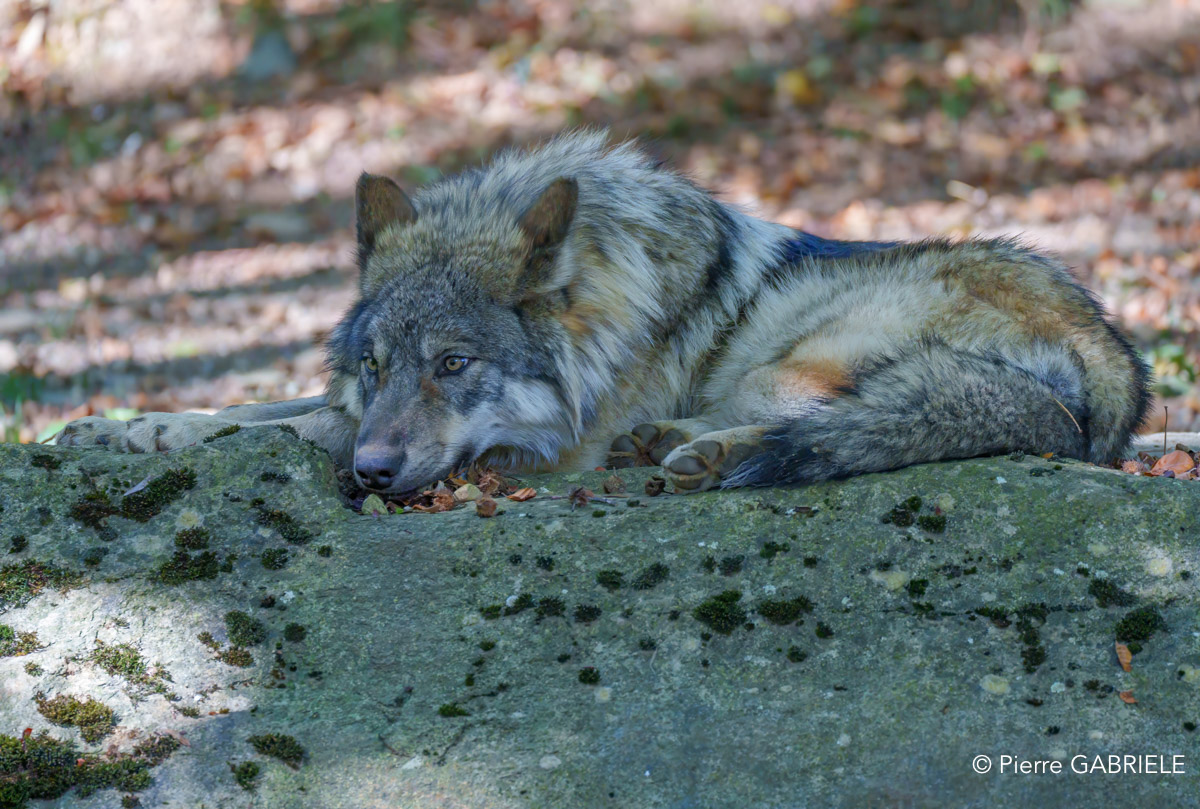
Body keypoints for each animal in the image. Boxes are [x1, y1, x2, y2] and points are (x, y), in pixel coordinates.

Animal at [57, 131, 1152, 494]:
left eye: (454, 364)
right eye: (378, 365)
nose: (372, 475)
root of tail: (1119, 367)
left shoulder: (548, 442)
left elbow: (294, 423)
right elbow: (259, 406)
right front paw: (123, 426)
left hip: (792, 361)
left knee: (825, 425)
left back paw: (693, 453)